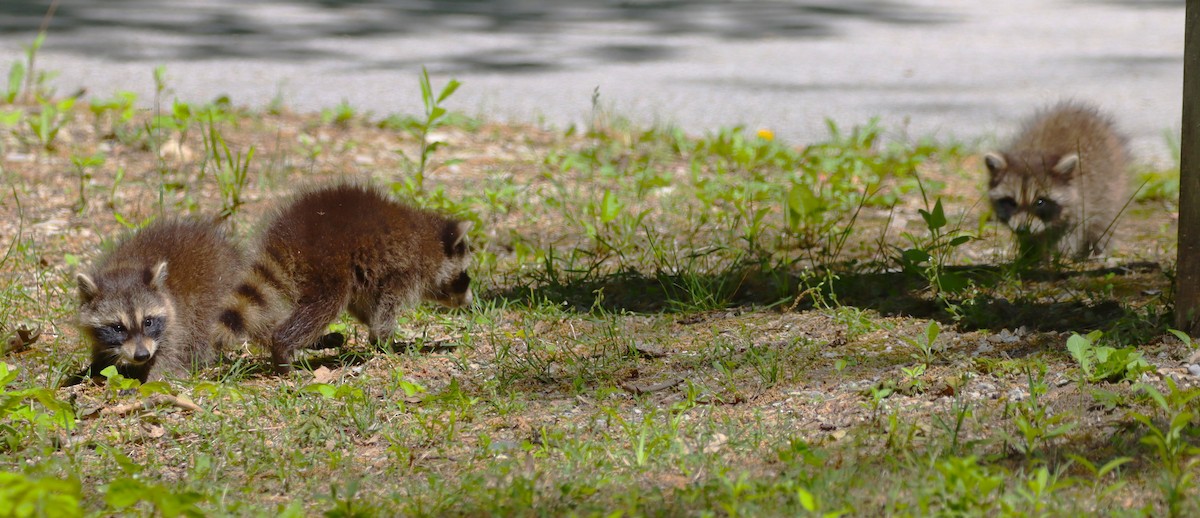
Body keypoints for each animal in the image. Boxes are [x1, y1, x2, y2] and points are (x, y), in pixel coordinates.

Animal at [75, 218, 246, 383]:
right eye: (117, 328)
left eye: (148, 322)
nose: (142, 355)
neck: (125, 267)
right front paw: (96, 368)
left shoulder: (176, 320)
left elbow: (169, 354)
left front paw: (152, 379)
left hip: (215, 296)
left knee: (201, 332)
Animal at [219, 184, 474, 373]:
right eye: (464, 276)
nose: (470, 301)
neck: (434, 243)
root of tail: (286, 236)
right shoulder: (403, 271)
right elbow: (386, 309)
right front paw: (386, 342)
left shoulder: (368, 278)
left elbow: (366, 307)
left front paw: (375, 335)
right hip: (328, 263)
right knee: (323, 306)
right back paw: (282, 348)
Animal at [984, 101, 1130, 261]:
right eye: (1010, 202)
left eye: (1040, 202)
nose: (1022, 229)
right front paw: (1029, 252)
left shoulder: (1081, 201)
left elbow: (1072, 233)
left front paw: (1057, 255)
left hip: (1112, 187)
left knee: (1104, 222)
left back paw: (1099, 250)